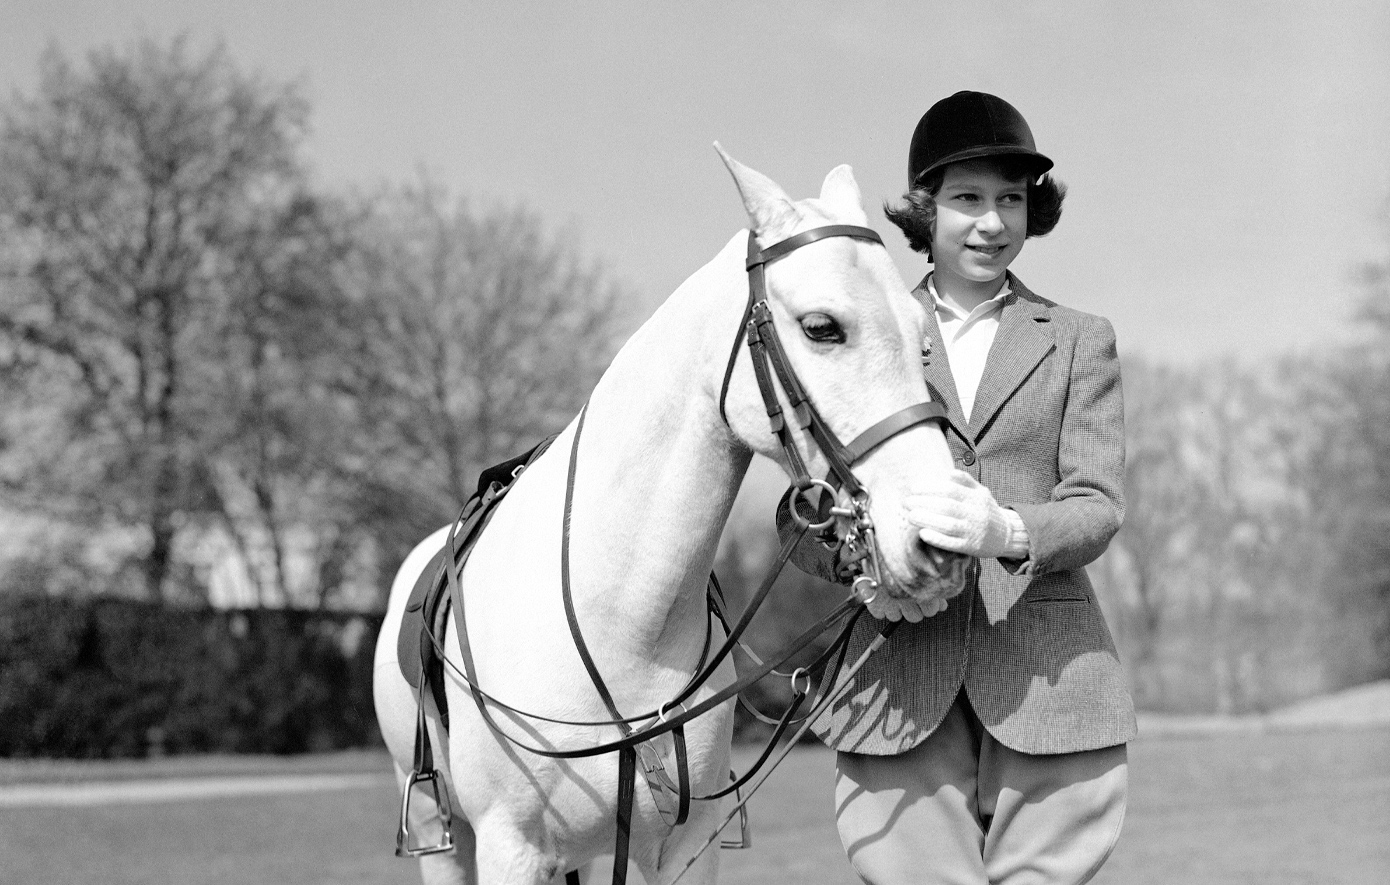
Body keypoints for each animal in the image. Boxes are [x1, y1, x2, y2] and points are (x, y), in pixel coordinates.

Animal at [375, 148, 973, 878]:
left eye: (922, 341)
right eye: (822, 327)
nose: (939, 538)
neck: (620, 620)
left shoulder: (677, 844)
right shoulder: (509, 847)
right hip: (446, 837)